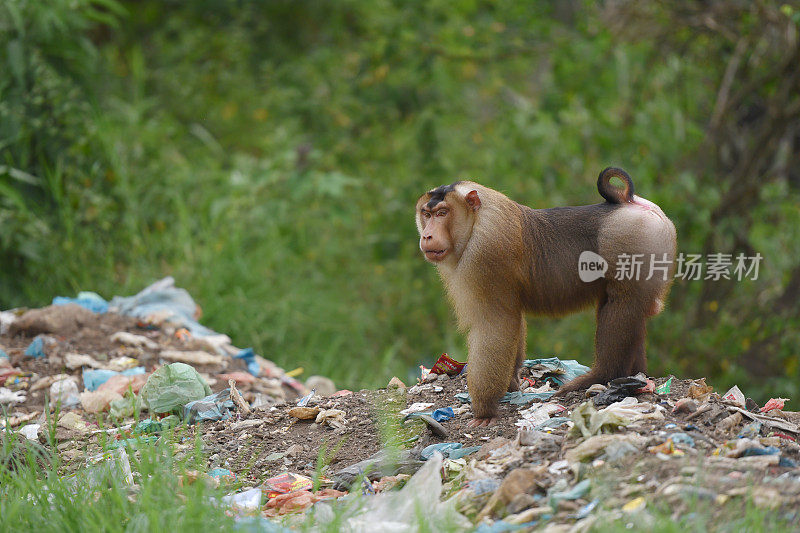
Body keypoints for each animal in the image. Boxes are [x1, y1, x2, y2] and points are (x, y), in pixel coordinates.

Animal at [418, 168, 676, 426]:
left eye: (442, 213)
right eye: (426, 214)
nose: (427, 235)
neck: (476, 220)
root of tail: (628, 203)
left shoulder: (484, 254)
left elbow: (495, 324)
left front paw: (485, 409)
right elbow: (512, 321)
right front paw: (511, 384)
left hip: (630, 243)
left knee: (621, 303)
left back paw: (602, 375)